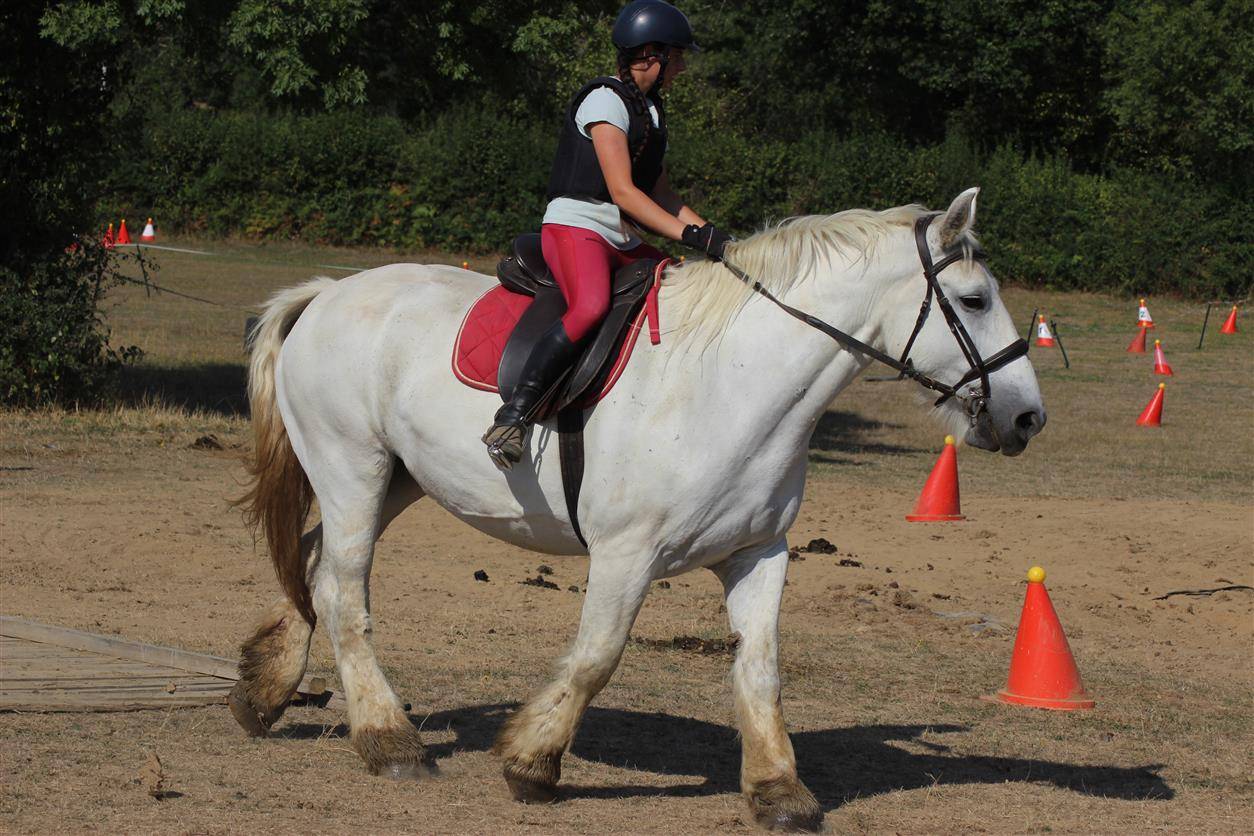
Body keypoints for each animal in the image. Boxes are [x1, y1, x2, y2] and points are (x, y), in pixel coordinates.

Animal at [229, 188, 1044, 831]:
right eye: (974, 300)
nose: (1028, 417)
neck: (734, 382)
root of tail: (326, 295)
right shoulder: (627, 554)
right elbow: (597, 657)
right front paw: (531, 763)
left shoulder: (759, 553)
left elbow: (761, 670)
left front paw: (779, 790)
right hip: (353, 471)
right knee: (344, 593)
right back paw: (389, 740)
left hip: (396, 479)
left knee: (313, 567)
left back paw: (264, 693)